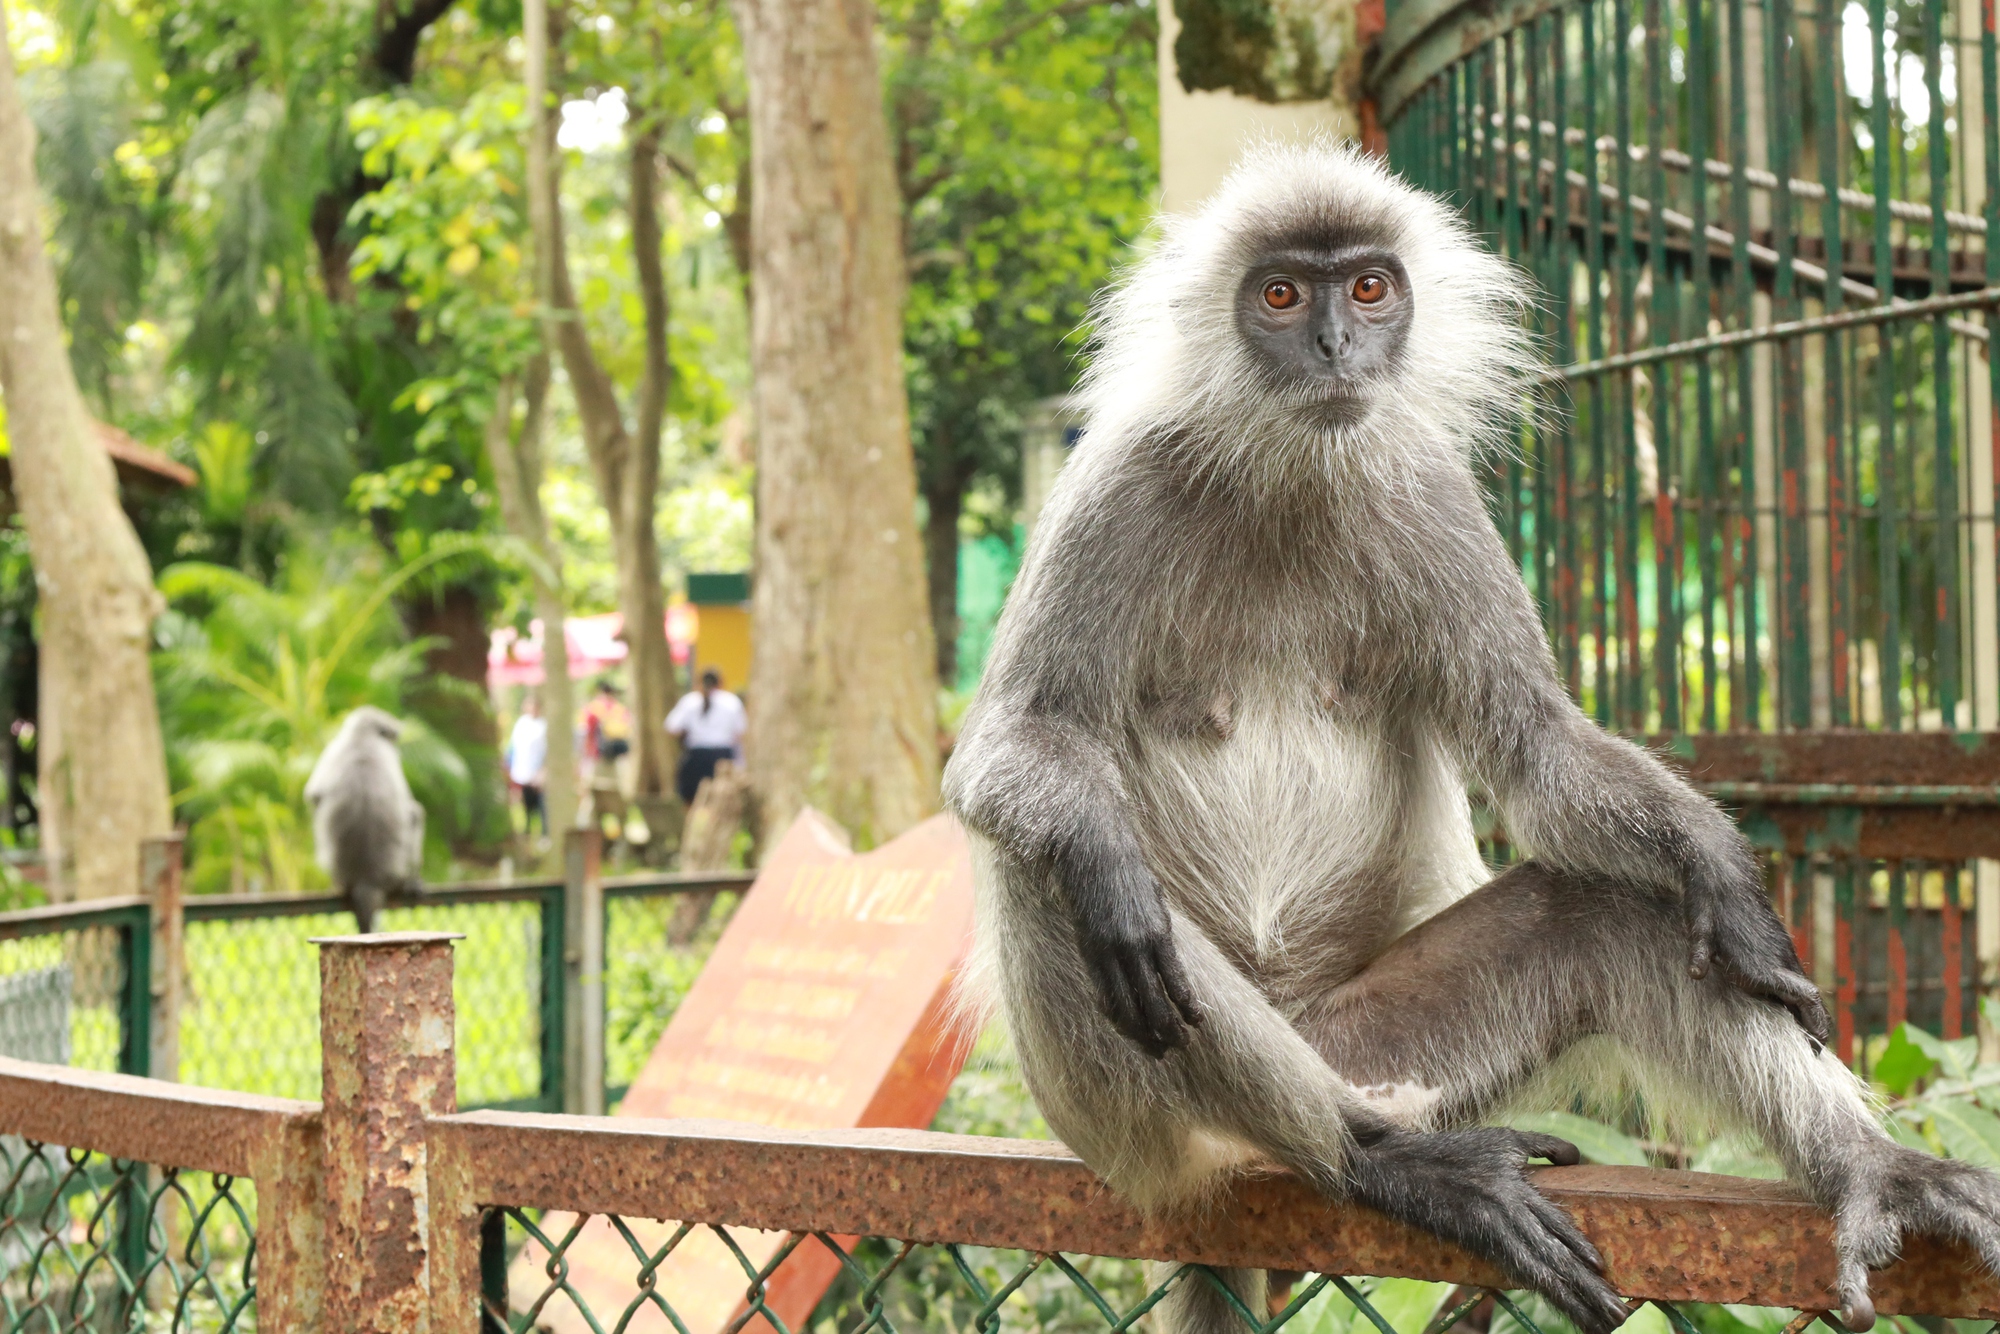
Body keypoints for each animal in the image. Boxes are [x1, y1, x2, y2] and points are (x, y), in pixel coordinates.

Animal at [304, 704, 426, 936]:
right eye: (391, 737)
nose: (395, 740)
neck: (360, 739)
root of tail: (366, 880)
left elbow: (314, 797)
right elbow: (411, 811)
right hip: (393, 873)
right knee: (416, 814)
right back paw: (412, 882)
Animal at [940, 141, 2000, 1334]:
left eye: (1367, 288)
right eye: (1280, 295)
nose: (1334, 345)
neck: (1288, 474)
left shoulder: (1436, 495)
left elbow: (1542, 759)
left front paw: (1724, 875)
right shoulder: (1111, 488)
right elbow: (1002, 755)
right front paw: (1111, 874)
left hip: (1382, 1047)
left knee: (1611, 907)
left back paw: (1873, 1170)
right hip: (1133, 1118)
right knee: (1065, 876)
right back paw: (1380, 1160)